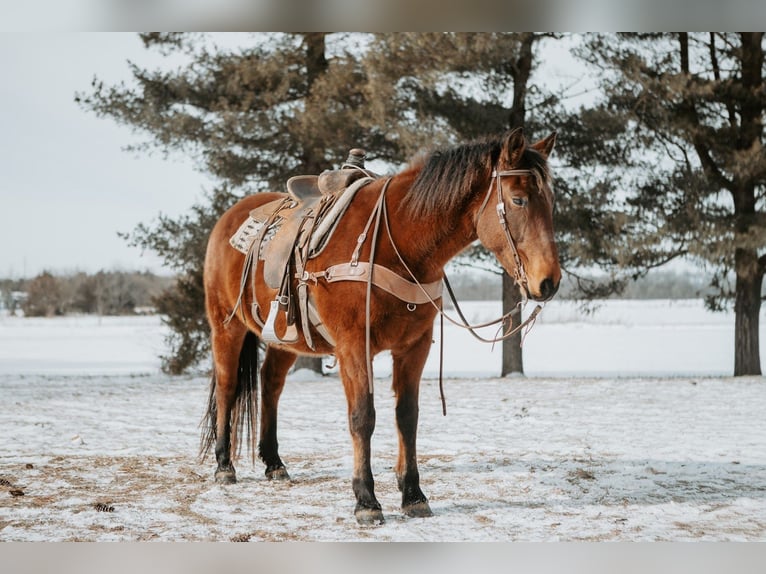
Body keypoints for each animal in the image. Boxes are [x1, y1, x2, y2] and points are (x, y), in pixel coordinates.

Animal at [200, 127, 561, 524]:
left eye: (550, 202)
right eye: (518, 200)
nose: (549, 281)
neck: (398, 243)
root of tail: (227, 220)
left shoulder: (414, 346)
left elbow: (407, 416)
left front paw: (413, 495)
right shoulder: (354, 346)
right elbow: (363, 417)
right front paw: (366, 500)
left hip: (285, 336)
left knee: (271, 384)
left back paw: (274, 462)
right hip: (226, 326)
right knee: (228, 386)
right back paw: (224, 465)